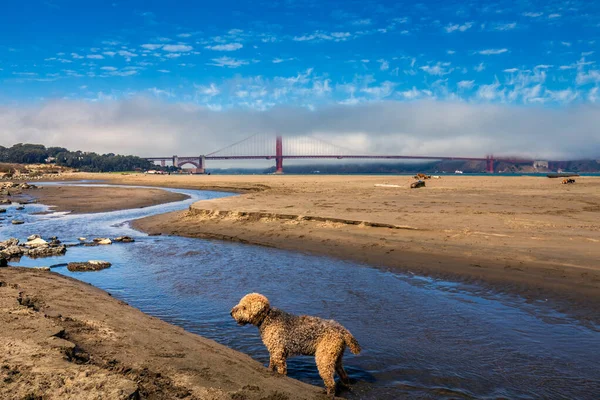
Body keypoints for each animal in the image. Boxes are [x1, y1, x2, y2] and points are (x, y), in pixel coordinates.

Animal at [230, 294, 360, 396]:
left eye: (244, 307)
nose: (231, 312)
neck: (267, 318)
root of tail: (342, 330)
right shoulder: (274, 350)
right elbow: (271, 365)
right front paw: (269, 371)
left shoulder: (278, 353)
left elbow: (281, 370)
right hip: (335, 357)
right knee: (343, 375)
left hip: (323, 358)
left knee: (331, 382)